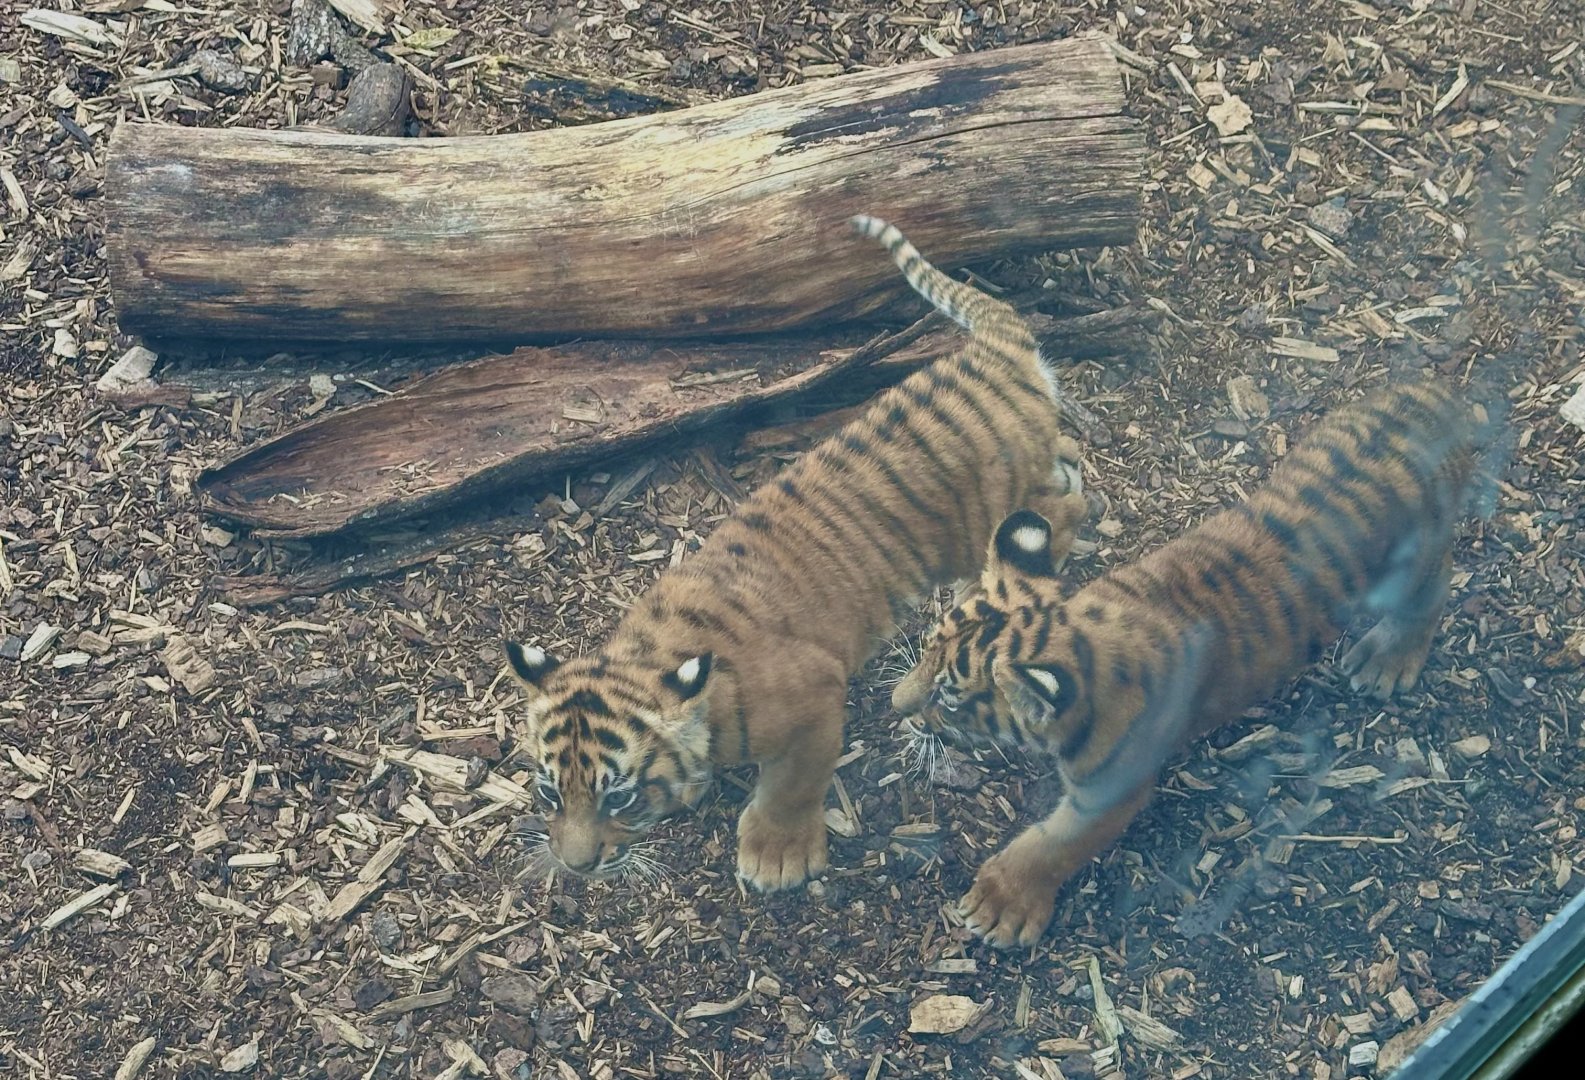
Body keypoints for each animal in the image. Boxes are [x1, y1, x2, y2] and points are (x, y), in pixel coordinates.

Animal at [502, 215, 1091, 892]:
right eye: (550, 793)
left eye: (618, 798)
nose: (575, 867)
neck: (652, 656)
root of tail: (991, 350)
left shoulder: (815, 698)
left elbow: (791, 784)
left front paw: (775, 856)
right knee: (1069, 459)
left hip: (985, 512)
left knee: (1064, 507)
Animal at [891, 379, 1508, 947]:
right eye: (926, 647)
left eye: (948, 698)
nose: (896, 707)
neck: (1089, 629)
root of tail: (1430, 391)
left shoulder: (1109, 791)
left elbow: (1052, 844)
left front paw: (999, 903)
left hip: (1419, 557)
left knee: (1434, 586)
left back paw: (1387, 659)